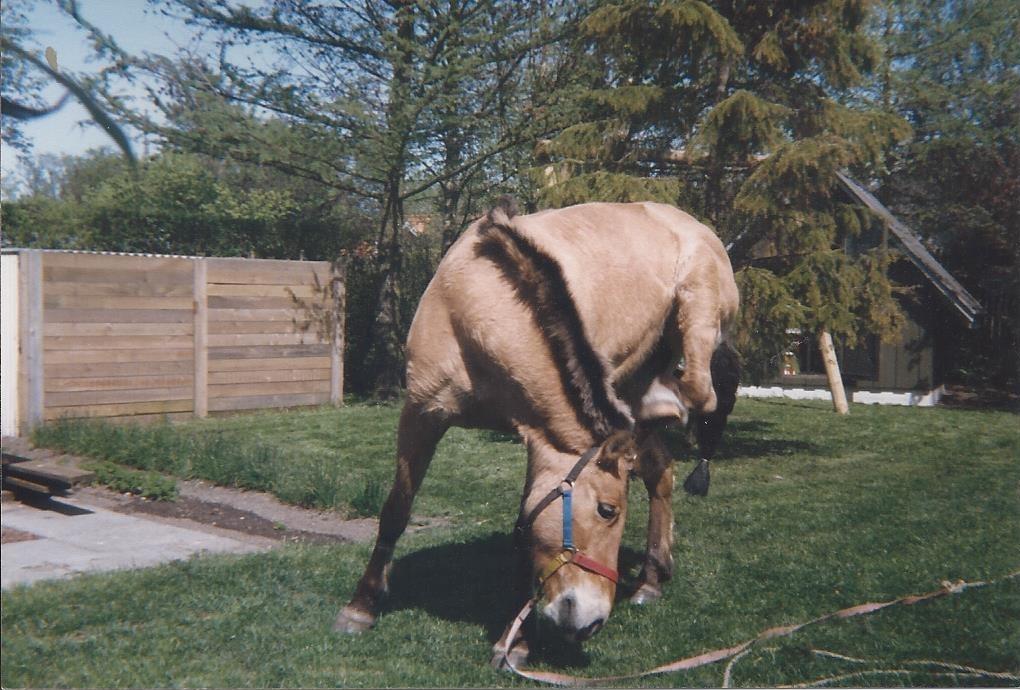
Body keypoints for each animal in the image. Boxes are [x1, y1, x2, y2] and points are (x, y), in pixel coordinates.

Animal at [334, 198, 742, 661]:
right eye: (608, 510)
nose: (592, 621)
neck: (477, 312)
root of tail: (697, 228)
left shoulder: (543, 437)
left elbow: (524, 523)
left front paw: (516, 640)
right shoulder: (422, 413)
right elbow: (396, 510)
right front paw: (361, 606)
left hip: (698, 317)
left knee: (701, 396)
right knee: (660, 466)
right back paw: (651, 579)